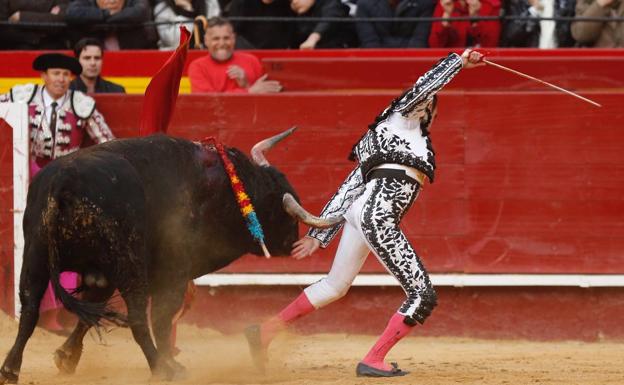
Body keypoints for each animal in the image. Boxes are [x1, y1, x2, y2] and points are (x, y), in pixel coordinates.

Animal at [1, 131, 342, 380]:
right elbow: (163, 318)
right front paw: (170, 361)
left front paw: (66, 358)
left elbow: (91, 311)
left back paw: (11, 368)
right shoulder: (174, 271)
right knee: (138, 318)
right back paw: (162, 368)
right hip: (128, 261)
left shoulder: (103, 273)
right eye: (281, 214)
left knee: (29, 309)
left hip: (35, 255)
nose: (293, 243)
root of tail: (64, 181)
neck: (227, 189)